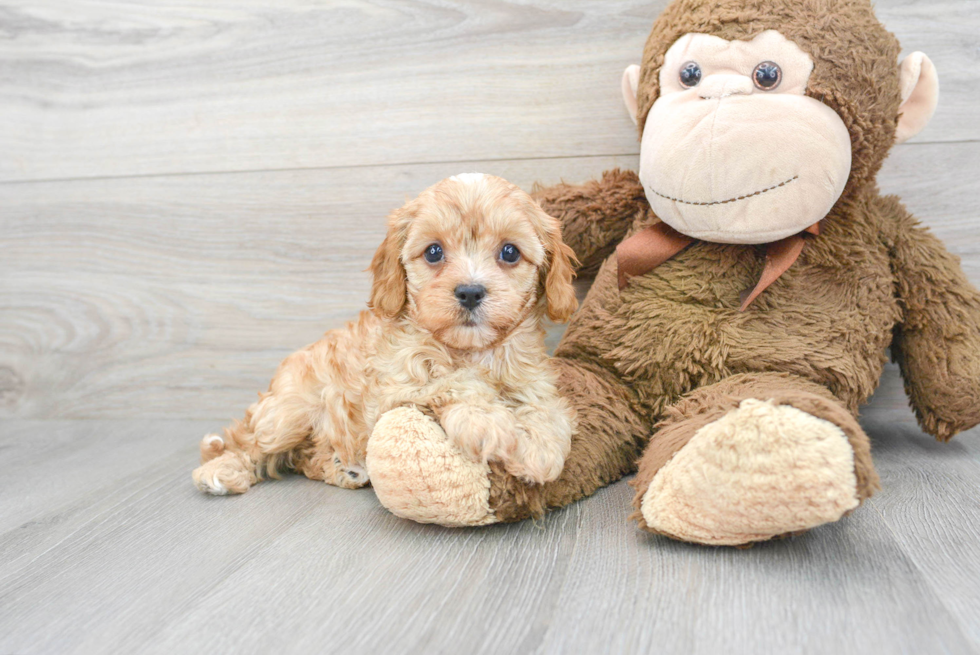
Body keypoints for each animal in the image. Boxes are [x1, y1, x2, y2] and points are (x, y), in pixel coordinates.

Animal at [190, 174, 576, 498]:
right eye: (434, 252)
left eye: (509, 252)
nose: (469, 292)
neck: (472, 350)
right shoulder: (393, 391)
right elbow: (455, 381)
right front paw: (488, 422)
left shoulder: (533, 378)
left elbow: (546, 408)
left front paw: (540, 448)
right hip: (288, 412)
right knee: (248, 441)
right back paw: (220, 470)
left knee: (304, 456)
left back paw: (342, 468)